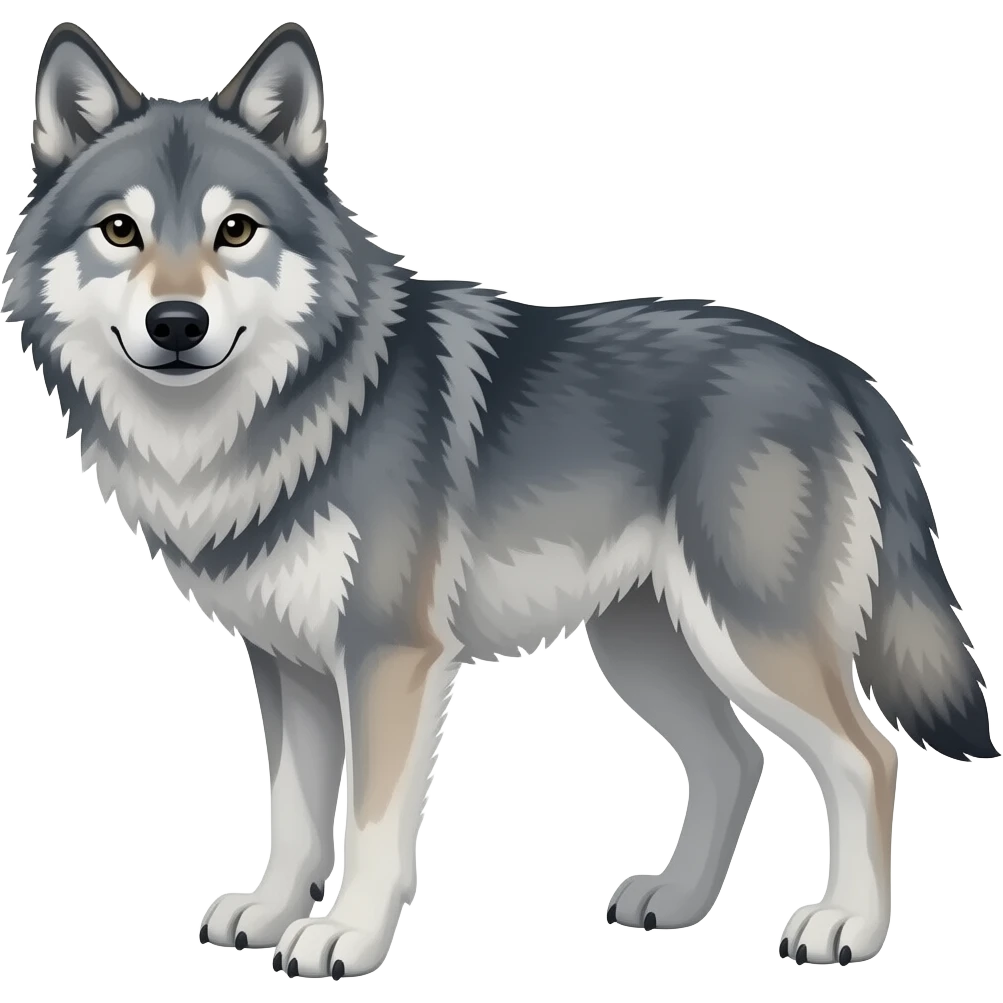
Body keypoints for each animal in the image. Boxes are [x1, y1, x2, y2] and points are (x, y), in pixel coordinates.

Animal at [4, 18, 997, 980]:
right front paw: (271, 909)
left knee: (866, 757)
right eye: (121, 230)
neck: (265, 422)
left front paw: (345, 936)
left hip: (749, 636)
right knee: (735, 758)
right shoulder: (288, 664)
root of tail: (833, 366)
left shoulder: (389, 657)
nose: (177, 324)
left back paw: (846, 926)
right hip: (646, 648)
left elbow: (371, 823)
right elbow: (292, 811)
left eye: (237, 230)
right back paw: (674, 903)